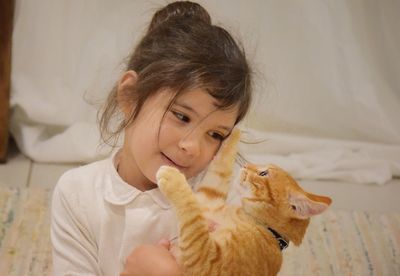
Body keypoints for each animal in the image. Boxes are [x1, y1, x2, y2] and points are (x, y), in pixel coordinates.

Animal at [156, 129, 332, 276]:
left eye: (263, 173)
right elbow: (220, 171)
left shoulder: (205, 260)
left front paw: (172, 178)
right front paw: (235, 133)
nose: (247, 164)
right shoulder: (207, 200)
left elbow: (192, 217)